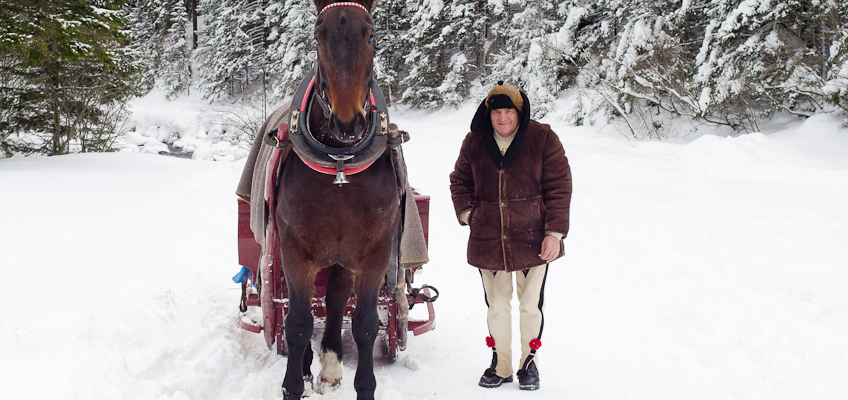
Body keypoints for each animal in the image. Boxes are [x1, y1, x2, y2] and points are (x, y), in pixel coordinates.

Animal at [272, 1, 400, 398]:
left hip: (344, 257)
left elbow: (364, 323)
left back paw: (329, 363)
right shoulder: (294, 250)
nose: (348, 123)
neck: (339, 162)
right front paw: (292, 385)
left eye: (370, 35)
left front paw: (364, 385)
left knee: (335, 298)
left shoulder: (375, 252)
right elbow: (297, 323)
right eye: (318, 36)